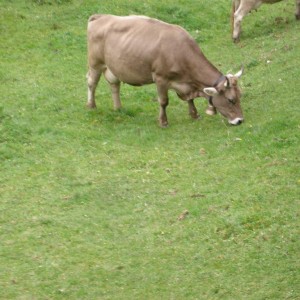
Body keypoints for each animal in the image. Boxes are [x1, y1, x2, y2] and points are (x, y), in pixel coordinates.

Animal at [86, 14, 244, 126]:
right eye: (230, 100)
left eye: (240, 96)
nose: (240, 120)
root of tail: (100, 16)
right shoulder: (160, 78)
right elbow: (163, 101)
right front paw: (163, 122)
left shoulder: (186, 84)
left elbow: (190, 100)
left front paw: (194, 114)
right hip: (95, 63)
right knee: (91, 82)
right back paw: (91, 105)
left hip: (112, 67)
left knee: (114, 84)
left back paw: (118, 108)